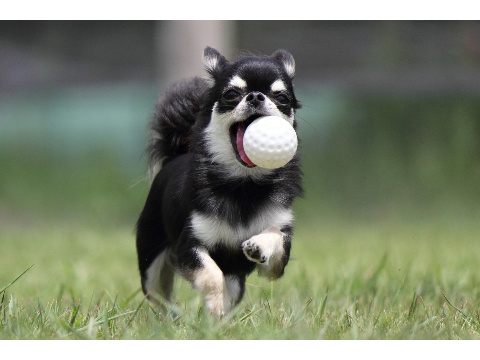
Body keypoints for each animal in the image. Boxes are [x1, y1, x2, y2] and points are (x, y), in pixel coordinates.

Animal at [135, 45, 302, 316]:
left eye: (282, 98)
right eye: (231, 94)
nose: (256, 96)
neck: (244, 186)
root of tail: (175, 156)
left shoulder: (276, 259)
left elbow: (276, 239)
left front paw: (259, 245)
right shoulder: (189, 246)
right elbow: (212, 276)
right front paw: (214, 307)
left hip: (234, 278)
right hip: (151, 260)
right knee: (158, 296)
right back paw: (171, 318)